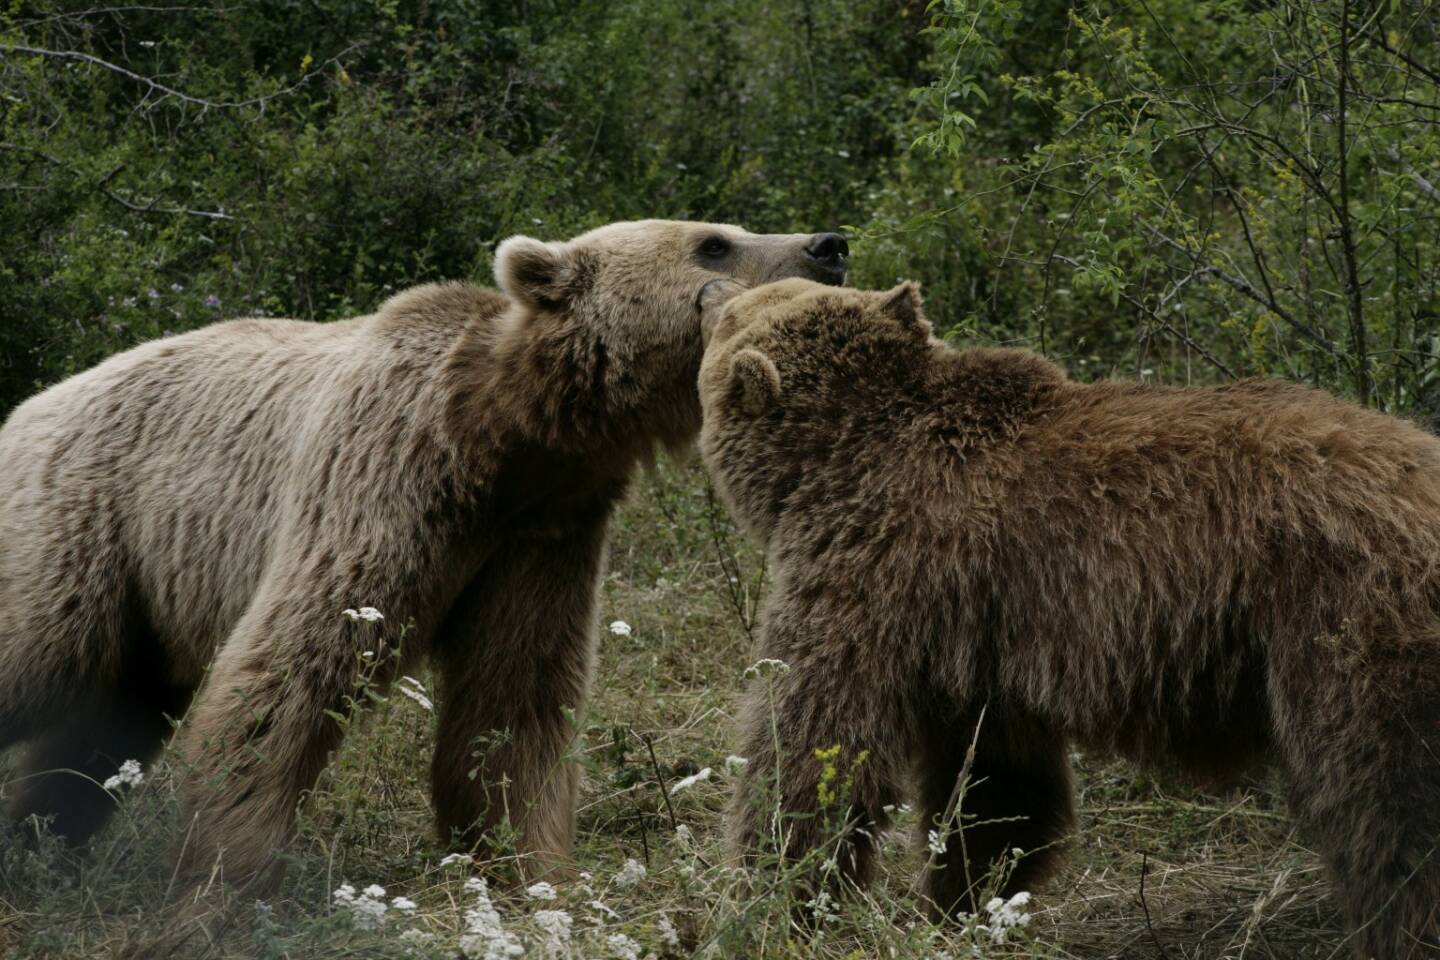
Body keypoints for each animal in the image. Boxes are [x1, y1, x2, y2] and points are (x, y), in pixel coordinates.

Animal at [696, 277, 1440, 960]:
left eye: (739, 308)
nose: (709, 288)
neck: (835, 457)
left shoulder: (873, 576)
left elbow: (814, 747)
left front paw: (773, 899)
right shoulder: (982, 643)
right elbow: (998, 789)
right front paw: (965, 902)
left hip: (1346, 626)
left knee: (1389, 805)